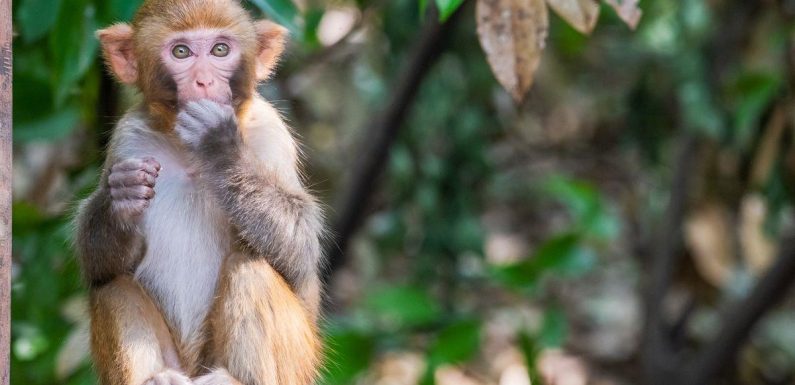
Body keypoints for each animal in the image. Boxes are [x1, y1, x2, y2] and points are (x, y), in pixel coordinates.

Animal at [74, 0, 324, 384]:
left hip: (295, 363)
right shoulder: (129, 139)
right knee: (112, 283)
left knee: (251, 268)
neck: (187, 154)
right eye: (181, 52)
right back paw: (158, 377)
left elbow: (300, 250)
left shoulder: (270, 132)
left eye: (220, 50)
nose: (204, 81)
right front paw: (120, 200)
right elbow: (95, 263)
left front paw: (218, 146)